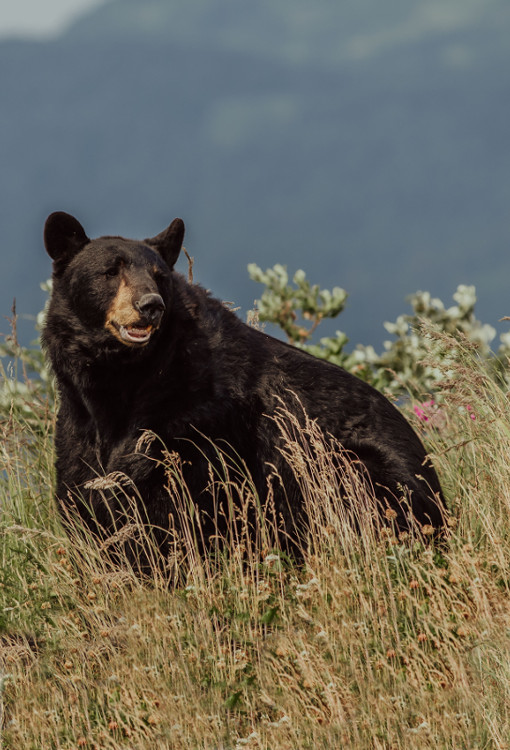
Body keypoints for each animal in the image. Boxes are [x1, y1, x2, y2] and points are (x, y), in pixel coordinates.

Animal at [41, 212, 444, 564]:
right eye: (111, 271)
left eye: (159, 277)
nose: (150, 305)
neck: (124, 378)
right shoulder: (78, 421)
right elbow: (84, 488)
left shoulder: (197, 420)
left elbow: (178, 500)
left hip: (355, 468)